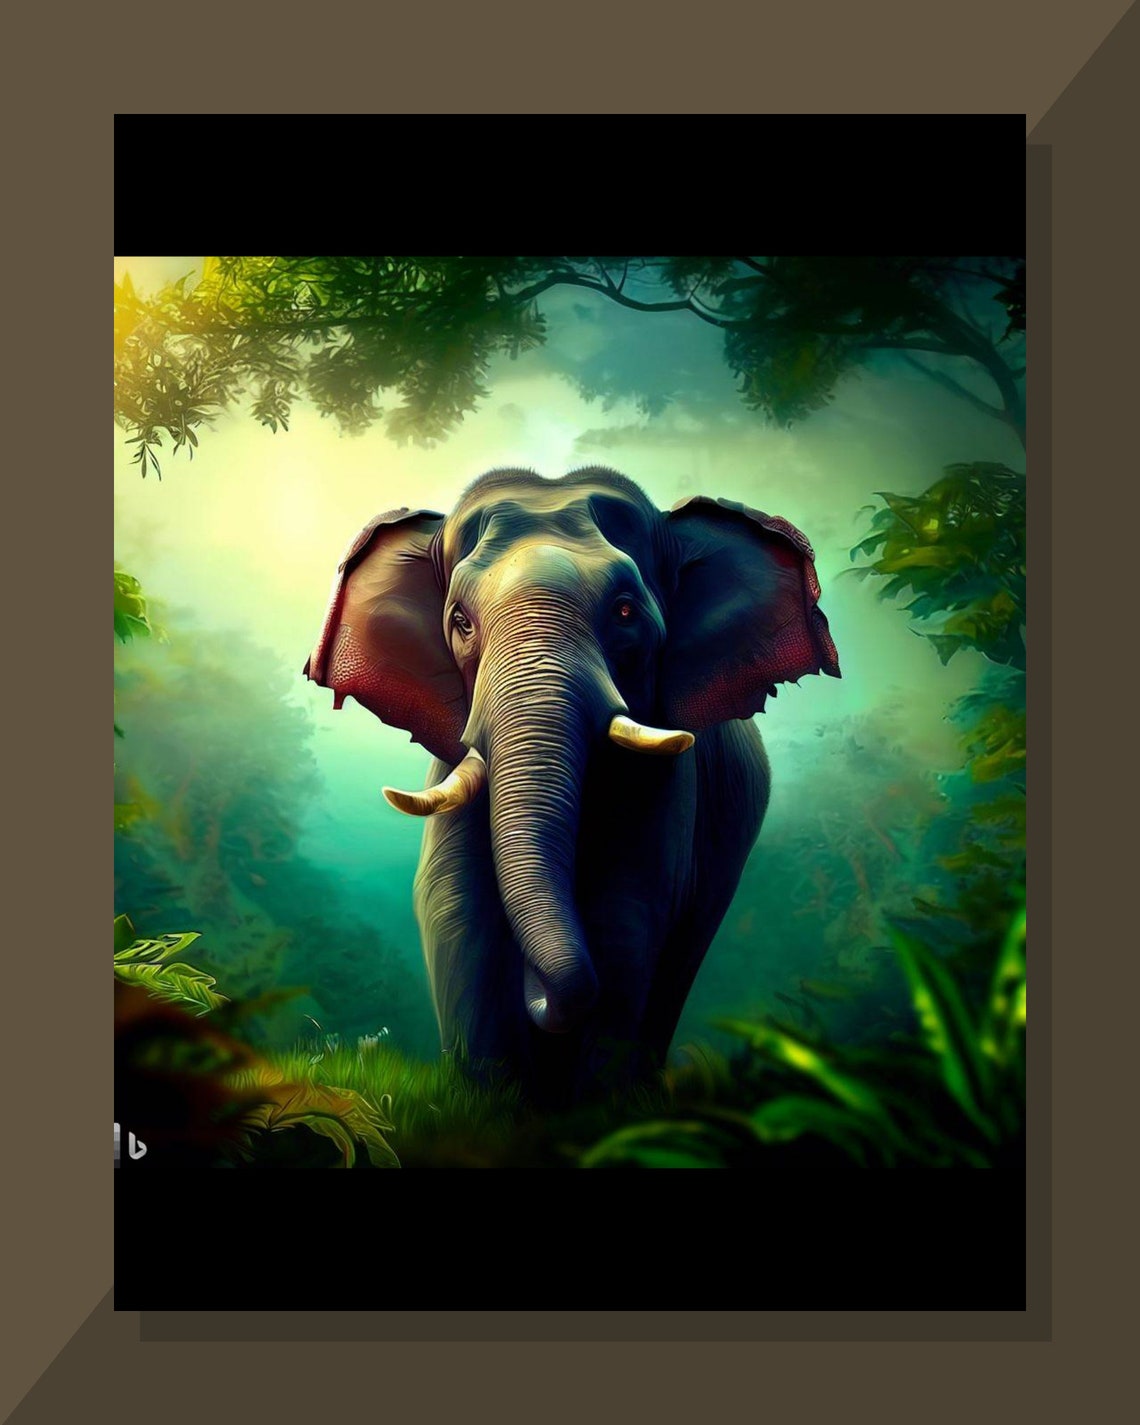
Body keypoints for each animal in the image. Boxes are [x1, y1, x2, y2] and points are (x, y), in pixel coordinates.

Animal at [304, 466, 840, 1105]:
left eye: (626, 612)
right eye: (460, 622)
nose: (536, 996)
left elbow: (628, 911)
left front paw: (593, 1105)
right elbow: (453, 904)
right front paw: (491, 1100)